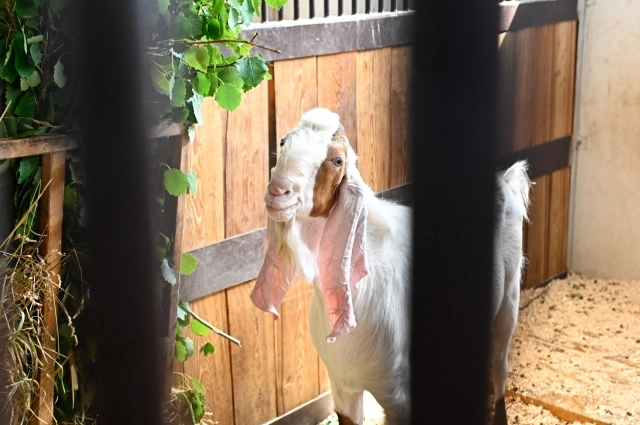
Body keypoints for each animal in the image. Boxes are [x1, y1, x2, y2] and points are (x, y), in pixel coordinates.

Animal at [250, 108, 530, 425]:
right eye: (283, 141)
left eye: (337, 160)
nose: (278, 192)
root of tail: (505, 180)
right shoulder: (342, 387)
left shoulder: (397, 394)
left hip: (508, 301)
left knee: (500, 367)